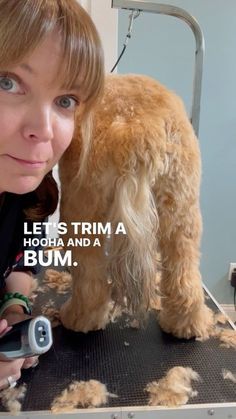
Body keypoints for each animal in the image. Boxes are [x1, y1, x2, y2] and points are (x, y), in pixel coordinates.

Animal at [58, 74, 213, 340]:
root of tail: (134, 126)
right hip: (180, 206)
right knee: (184, 274)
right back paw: (186, 324)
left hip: (80, 206)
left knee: (89, 277)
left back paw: (81, 318)